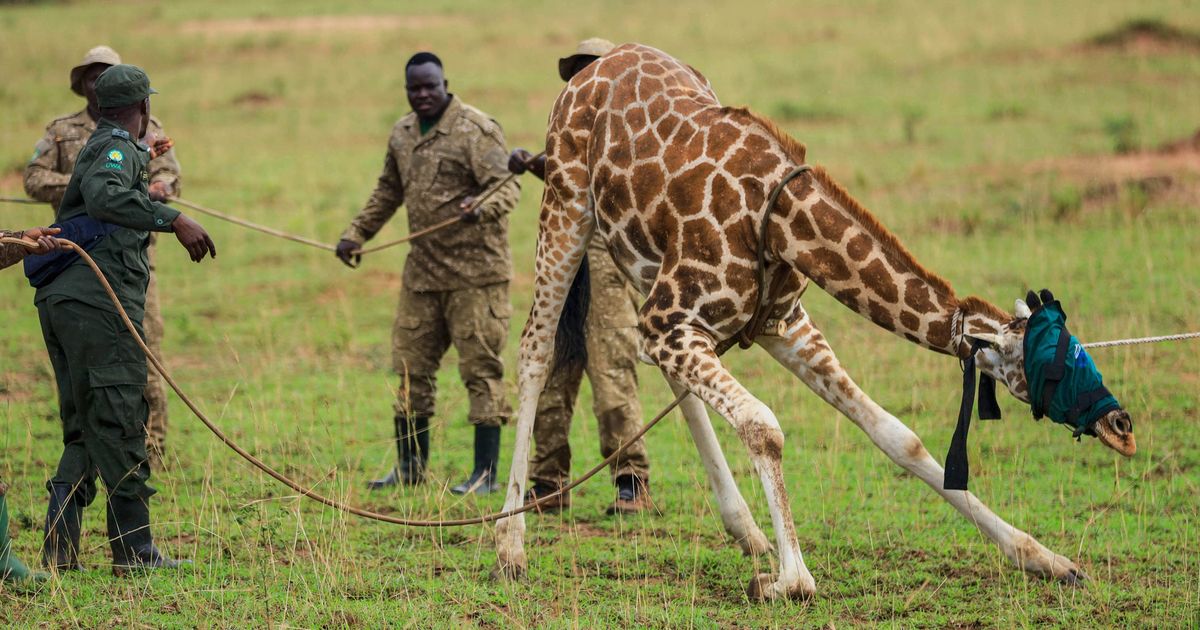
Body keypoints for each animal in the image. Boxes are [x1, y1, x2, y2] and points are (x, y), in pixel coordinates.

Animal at [494, 43, 1136, 600]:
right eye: (1056, 365)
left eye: (1079, 346)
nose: (1123, 428)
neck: (781, 222)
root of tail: (591, 64)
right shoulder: (674, 320)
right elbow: (763, 425)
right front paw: (789, 580)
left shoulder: (781, 326)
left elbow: (898, 436)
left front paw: (1048, 560)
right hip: (567, 207)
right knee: (533, 352)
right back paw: (510, 544)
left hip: (639, 260)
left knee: (662, 372)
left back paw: (746, 530)